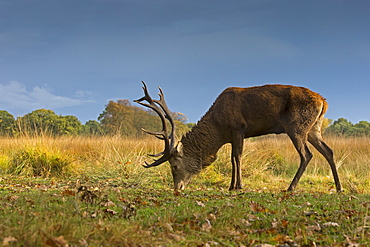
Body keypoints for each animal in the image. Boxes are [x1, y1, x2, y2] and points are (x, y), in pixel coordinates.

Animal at [134, 82, 342, 192]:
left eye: (174, 165)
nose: (177, 188)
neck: (218, 128)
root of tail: (323, 101)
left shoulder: (238, 128)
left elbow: (238, 157)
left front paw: (239, 185)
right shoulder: (231, 136)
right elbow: (232, 159)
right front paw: (231, 185)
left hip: (296, 127)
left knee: (307, 155)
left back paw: (291, 187)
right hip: (314, 128)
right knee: (329, 151)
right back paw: (339, 187)